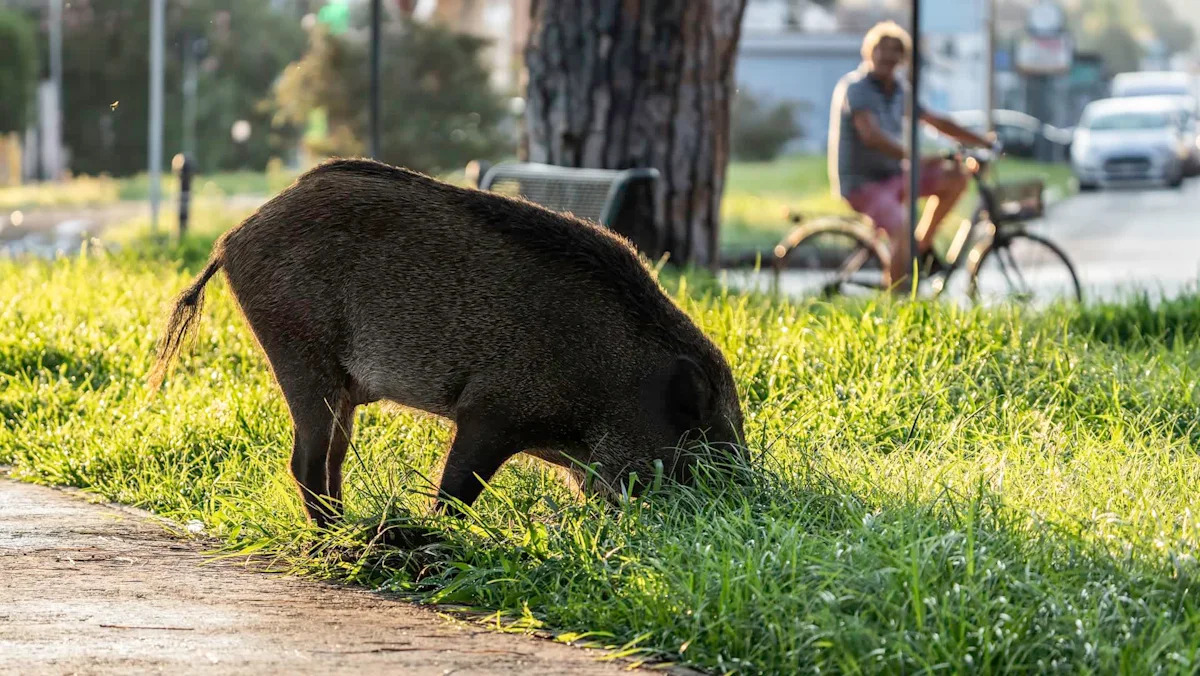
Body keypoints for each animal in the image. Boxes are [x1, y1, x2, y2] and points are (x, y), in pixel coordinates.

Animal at [148, 158, 744, 542]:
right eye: (703, 436)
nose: (742, 502)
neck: (617, 378)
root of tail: (230, 240)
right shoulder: (491, 410)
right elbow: (457, 489)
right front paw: (437, 537)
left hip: (332, 382)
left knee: (331, 455)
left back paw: (350, 529)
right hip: (299, 351)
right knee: (307, 460)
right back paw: (338, 538)